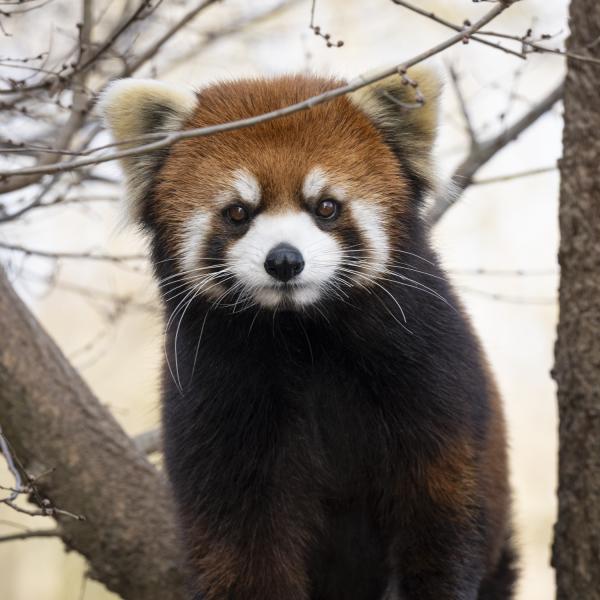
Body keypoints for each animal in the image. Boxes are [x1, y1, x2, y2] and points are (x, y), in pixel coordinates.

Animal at [101, 71, 512, 600]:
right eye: (238, 212)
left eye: (326, 207)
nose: (284, 260)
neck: (302, 330)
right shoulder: (215, 394)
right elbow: (241, 538)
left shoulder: (430, 372)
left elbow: (439, 512)